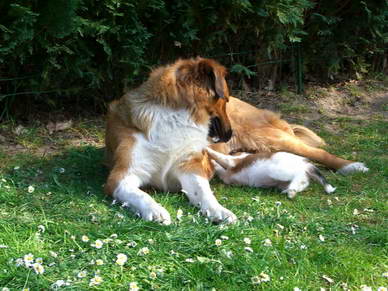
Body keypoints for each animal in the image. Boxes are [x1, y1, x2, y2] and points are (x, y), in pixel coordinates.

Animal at [104, 57, 236, 226]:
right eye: (225, 100)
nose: (230, 134)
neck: (174, 118)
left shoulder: (189, 167)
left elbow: (203, 191)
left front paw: (219, 210)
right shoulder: (121, 176)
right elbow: (140, 195)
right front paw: (155, 210)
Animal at [206, 148, 336, 198]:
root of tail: (305, 163)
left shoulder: (232, 161)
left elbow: (218, 156)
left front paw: (207, 150)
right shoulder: (227, 176)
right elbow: (219, 168)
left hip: (278, 171)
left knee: (299, 175)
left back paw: (291, 191)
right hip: (283, 180)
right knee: (302, 182)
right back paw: (291, 191)